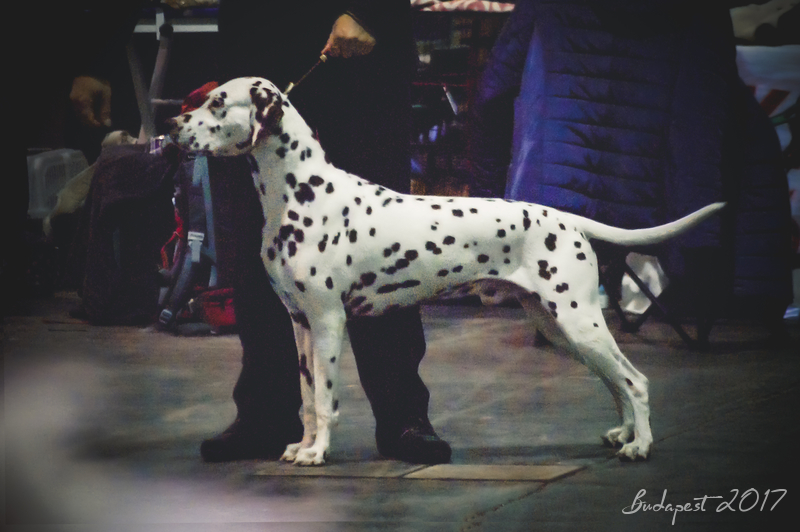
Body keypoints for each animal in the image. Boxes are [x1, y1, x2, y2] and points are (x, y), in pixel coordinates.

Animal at [170, 78, 724, 466]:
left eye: (217, 102)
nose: (174, 125)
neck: (299, 193)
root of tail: (567, 218)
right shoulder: (301, 324)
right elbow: (307, 397)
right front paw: (302, 445)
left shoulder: (328, 322)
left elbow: (325, 399)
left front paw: (318, 453)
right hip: (563, 330)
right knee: (616, 383)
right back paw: (625, 435)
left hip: (579, 323)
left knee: (635, 381)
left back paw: (640, 447)